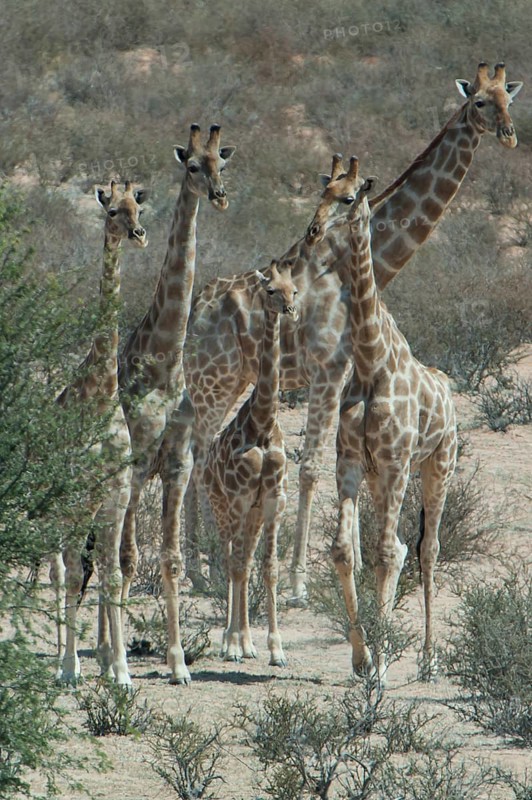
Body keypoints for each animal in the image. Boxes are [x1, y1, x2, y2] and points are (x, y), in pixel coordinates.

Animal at [184, 62, 522, 604]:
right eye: (478, 103)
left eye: (509, 100)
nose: (509, 135)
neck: (366, 265)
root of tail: (198, 306)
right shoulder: (326, 370)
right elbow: (310, 467)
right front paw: (299, 583)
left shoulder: (345, 377)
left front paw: (357, 566)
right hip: (213, 381)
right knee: (194, 454)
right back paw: (199, 570)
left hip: (230, 381)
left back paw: (205, 566)